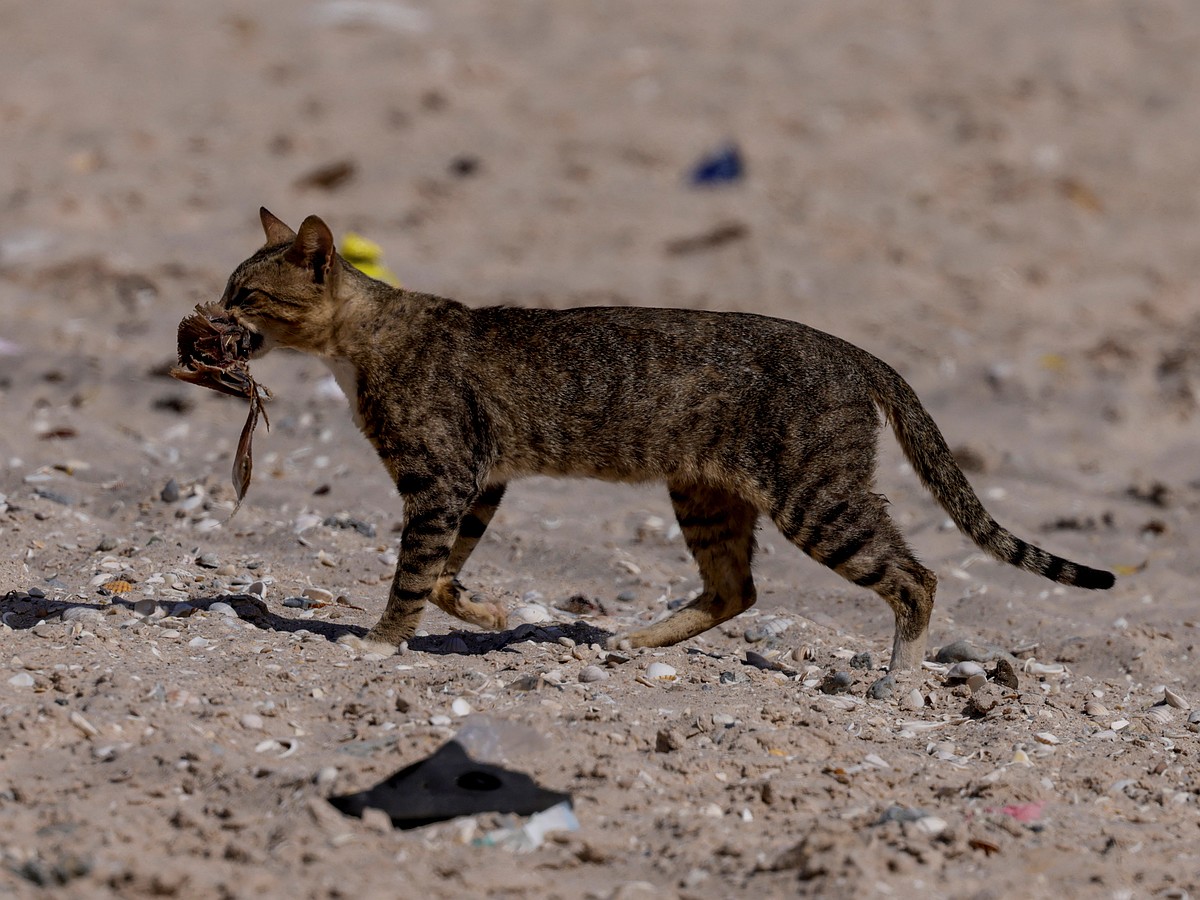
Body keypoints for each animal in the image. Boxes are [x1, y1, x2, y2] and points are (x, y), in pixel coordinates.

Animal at [208, 211, 1113, 672]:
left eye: (247, 294)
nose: (210, 316)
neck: (360, 344)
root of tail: (858, 353)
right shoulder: (482, 480)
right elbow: (442, 573)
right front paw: (485, 609)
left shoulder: (442, 478)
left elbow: (412, 575)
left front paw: (379, 645)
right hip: (708, 494)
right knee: (736, 590)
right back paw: (631, 641)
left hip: (816, 498)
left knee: (915, 578)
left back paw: (899, 685)